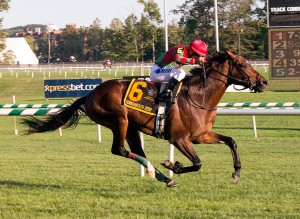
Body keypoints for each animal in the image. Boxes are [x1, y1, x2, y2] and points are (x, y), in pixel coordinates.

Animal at [21, 50, 268, 187]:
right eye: (243, 64)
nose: (264, 82)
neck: (199, 96)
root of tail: (90, 94)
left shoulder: (201, 135)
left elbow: (231, 141)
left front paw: (236, 173)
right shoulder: (179, 138)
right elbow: (197, 163)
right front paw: (174, 165)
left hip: (131, 127)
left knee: (137, 152)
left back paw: (163, 178)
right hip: (118, 120)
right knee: (119, 150)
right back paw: (161, 174)